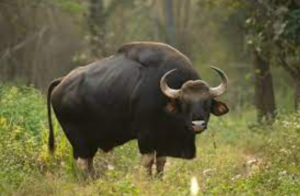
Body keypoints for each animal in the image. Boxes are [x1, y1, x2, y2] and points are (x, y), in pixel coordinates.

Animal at [47, 41, 230, 176]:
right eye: (184, 102)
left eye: (207, 102)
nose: (198, 124)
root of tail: (62, 81)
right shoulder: (145, 137)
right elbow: (147, 162)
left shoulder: (163, 140)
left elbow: (161, 163)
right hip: (78, 139)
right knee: (83, 163)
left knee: (89, 162)